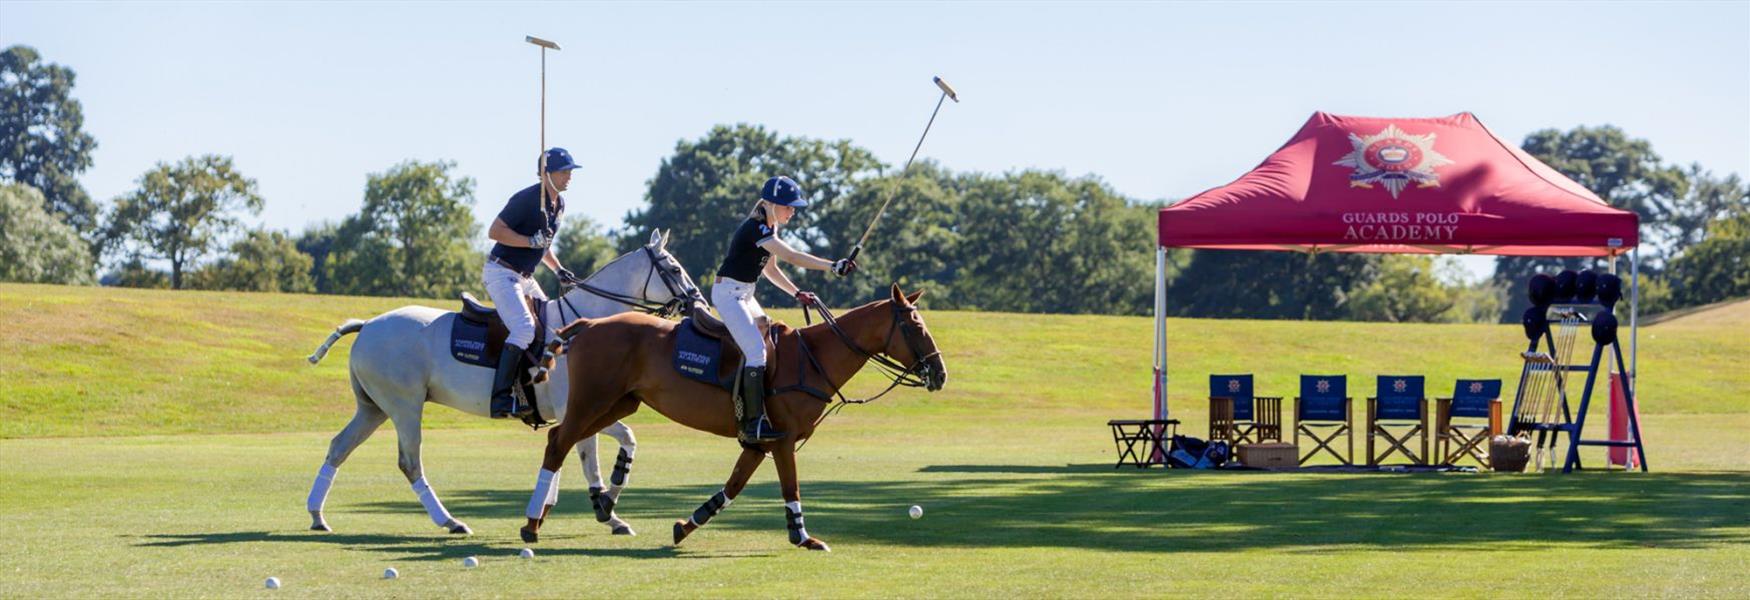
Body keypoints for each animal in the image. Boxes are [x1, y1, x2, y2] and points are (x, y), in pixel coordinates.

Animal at [306, 230, 703, 535]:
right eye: (674, 268)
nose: (698, 304)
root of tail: (367, 325)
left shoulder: (578, 413)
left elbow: (591, 451)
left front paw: (580, 510)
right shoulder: (578, 410)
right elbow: (598, 454)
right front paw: (606, 510)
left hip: (373, 408)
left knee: (339, 447)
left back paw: (317, 515)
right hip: (405, 406)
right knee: (409, 462)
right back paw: (450, 521)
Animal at [521, 285, 952, 552]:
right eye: (915, 325)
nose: (940, 374)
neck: (813, 358)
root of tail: (589, 323)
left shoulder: (758, 443)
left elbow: (732, 486)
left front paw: (685, 526)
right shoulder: (782, 439)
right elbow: (791, 487)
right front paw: (804, 538)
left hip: (618, 404)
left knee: (559, 439)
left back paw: (584, 511)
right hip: (593, 400)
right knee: (560, 443)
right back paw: (531, 524)